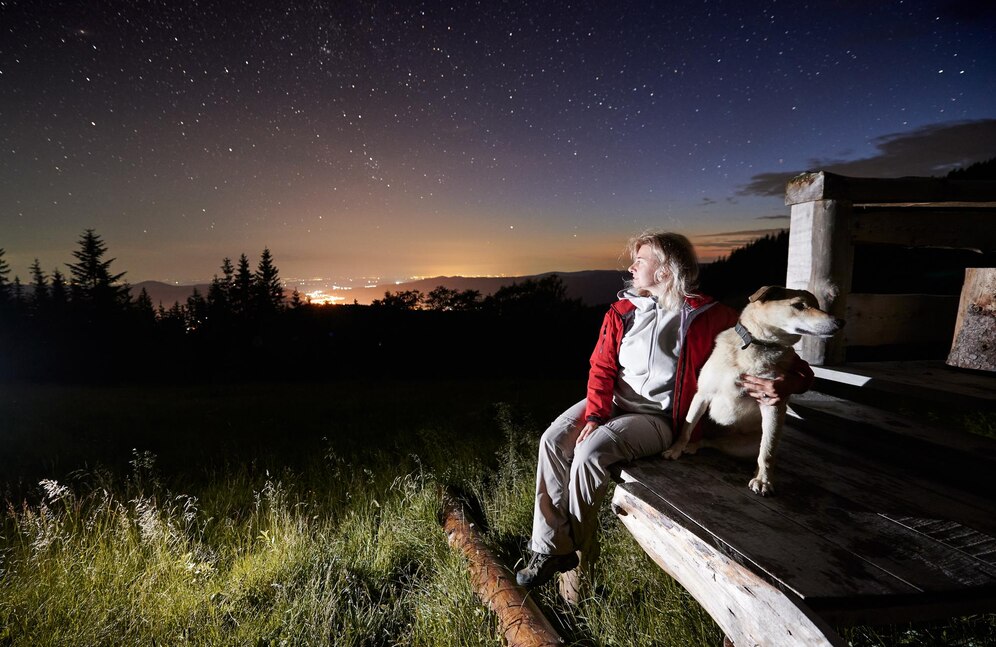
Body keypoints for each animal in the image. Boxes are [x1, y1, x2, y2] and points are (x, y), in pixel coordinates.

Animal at [664, 288, 844, 496]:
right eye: (799, 305)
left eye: (818, 306)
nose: (841, 322)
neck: (758, 344)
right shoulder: (702, 395)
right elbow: (686, 427)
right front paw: (675, 449)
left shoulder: (772, 405)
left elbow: (767, 452)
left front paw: (764, 480)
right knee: (705, 439)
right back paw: (692, 445)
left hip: (744, 444)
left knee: (755, 449)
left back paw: (756, 471)